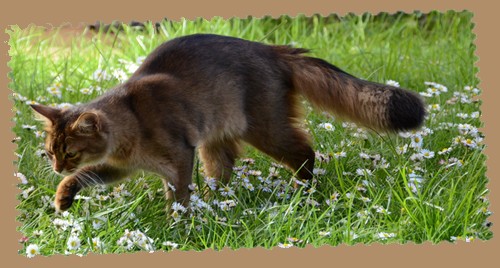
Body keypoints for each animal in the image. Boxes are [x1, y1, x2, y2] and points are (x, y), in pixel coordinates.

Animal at [29, 33, 424, 215]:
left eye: (69, 151)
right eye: (50, 152)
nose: (56, 166)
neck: (131, 120)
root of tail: (273, 49)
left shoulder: (179, 156)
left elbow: (178, 194)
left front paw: (179, 223)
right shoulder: (119, 167)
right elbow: (85, 177)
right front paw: (63, 197)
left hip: (266, 129)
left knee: (306, 152)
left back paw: (302, 194)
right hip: (215, 143)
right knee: (224, 174)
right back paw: (218, 202)